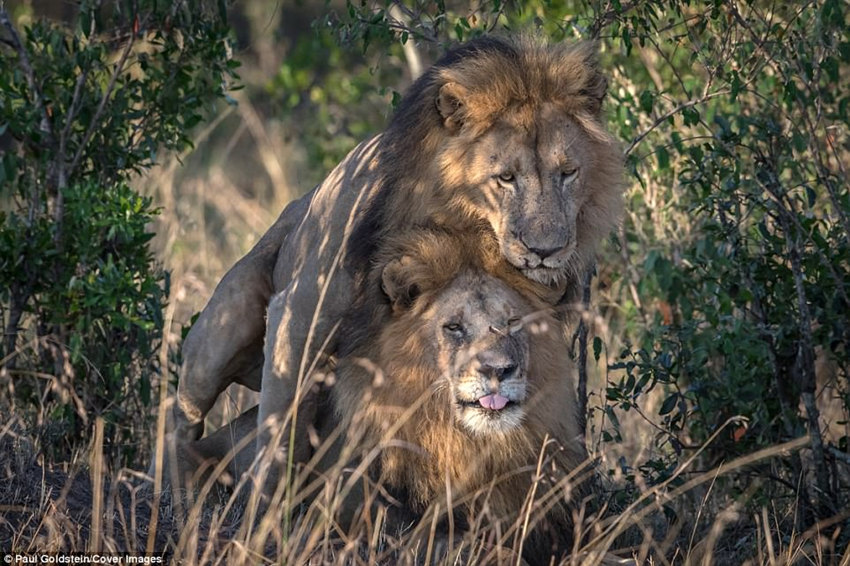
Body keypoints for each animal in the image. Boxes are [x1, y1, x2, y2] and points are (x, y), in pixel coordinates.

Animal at [149, 35, 620, 496]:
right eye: (505, 177)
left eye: (568, 173)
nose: (546, 250)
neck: (460, 226)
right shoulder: (296, 316)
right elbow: (279, 435)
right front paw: (265, 515)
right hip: (222, 332)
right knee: (182, 419)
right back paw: (175, 492)